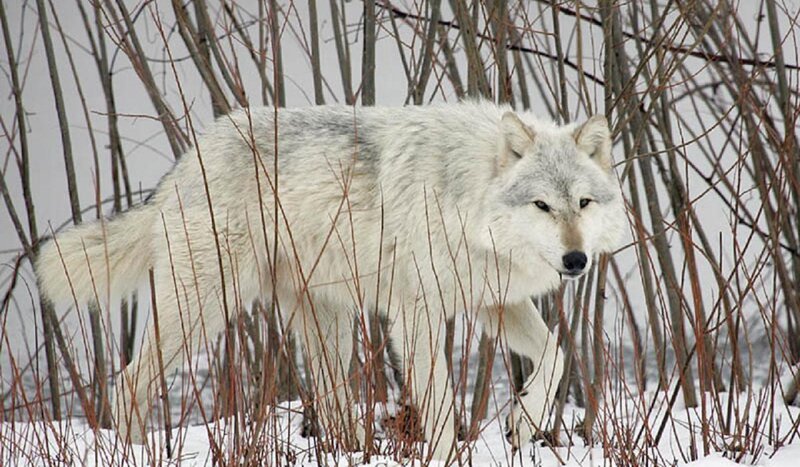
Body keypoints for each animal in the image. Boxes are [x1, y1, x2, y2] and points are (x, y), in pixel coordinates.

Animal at [35, 101, 625, 462]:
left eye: (583, 203)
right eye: (542, 205)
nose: (575, 260)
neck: (465, 192)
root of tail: (186, 160)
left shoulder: (492, 303)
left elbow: (555, 357)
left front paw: (523, 425)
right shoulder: (417, 314)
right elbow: (437, 404)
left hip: (326, 328)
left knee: (333, 405)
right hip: (203, 309)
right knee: (128, 382)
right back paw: (137, 455)